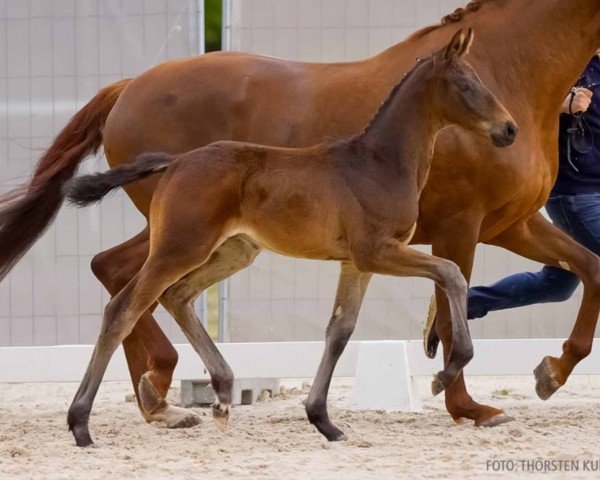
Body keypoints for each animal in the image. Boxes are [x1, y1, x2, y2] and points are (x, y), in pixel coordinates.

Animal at [64, 31, 516, 446]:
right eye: (466, 84)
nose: (509, 130)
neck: (380, 163)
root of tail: (174, 162)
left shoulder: (355, 264)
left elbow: (340, 331)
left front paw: (324, 420)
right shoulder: (376, 252)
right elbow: (451, 272)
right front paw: (446, 371)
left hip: (232, 252)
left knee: (177, 297)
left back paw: (223, 395)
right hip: (180, 248)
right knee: (124, 308)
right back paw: (80, 423)